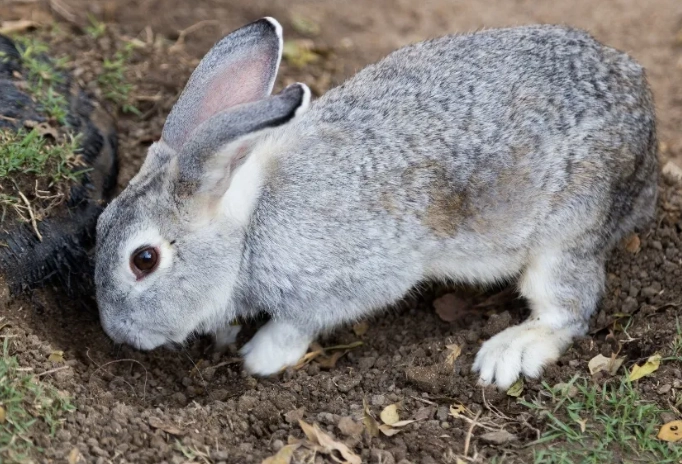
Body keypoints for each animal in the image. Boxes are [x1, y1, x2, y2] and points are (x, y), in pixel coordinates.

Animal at [95, 17, 658, 389]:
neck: (248, 227)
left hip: (568, 232)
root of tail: (647, 126)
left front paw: (260, 356)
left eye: (143, 260)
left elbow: (299, 322)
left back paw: (508, 353)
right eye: (98, 225)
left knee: (569, 306)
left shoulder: (352, 279)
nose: (117, 332)